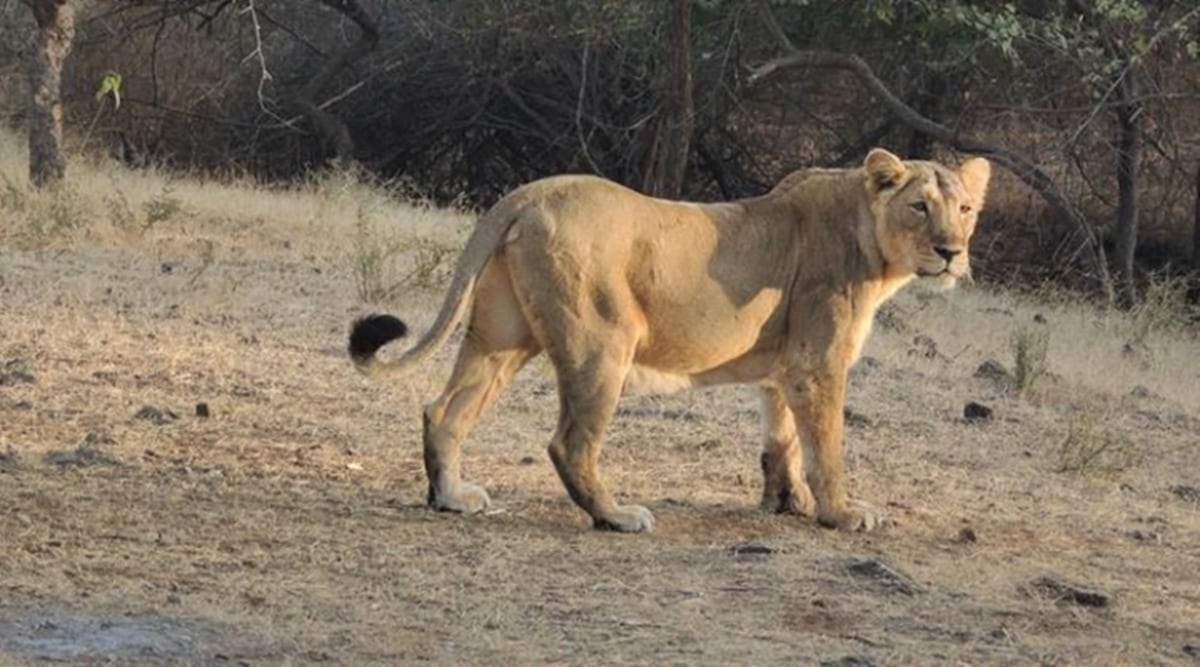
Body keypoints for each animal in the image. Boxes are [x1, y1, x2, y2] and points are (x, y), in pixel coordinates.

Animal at [345, 148, 984, 535]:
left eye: (966, 209)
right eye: (919, 206)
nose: (952, 251)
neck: (870, 239)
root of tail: (529, 193)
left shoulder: (784, 367)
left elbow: (781, 440)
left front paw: (786, 502)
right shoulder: (817, 364)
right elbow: (826, 447)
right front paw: (842, 513)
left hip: (501, 336)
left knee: (443, 411)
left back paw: (452, 496)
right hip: (603, 341)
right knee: (569, 443)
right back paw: (616, 516)